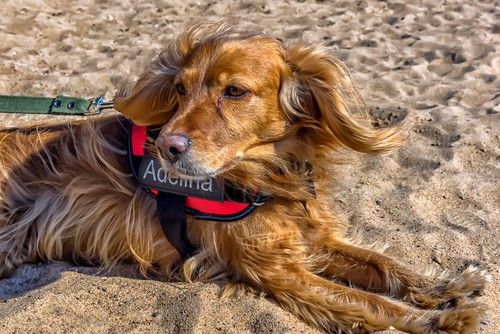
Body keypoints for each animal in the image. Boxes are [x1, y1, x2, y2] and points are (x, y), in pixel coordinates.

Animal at [0, 22, 488, 332]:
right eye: (180, 90)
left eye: (234, 91)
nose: (168, 147)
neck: (271, 174)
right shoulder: (275, 270)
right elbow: (370, 302)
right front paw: (438, 320)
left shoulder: (309, 239)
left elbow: (385, 265)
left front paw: (446, 288)